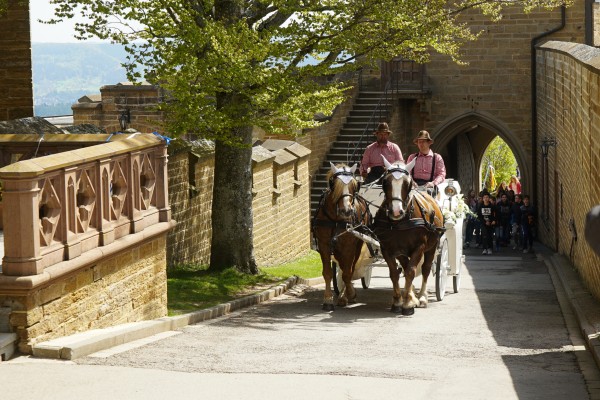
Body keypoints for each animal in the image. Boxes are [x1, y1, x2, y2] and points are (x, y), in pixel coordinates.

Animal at [314, 162, 370, 310]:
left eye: (354, 185)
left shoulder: (349, 246)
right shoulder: (324, 244)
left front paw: (349, 294)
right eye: (334, 184)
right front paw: (328, 299)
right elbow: (327, 273)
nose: (346, 211)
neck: (335, 219)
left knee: (350, 268)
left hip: (358, 245)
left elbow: (347, 273)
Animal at [376, 156, 446, 316]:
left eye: (407, 184)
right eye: (385, 182)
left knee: (425, 269)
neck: (398, 222)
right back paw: (413, 294)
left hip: (432, 246)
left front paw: (408, 304)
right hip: (402, 251)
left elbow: (411, 271)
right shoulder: (386, 248)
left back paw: (422, 297)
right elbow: (395, 273)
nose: (396, 211)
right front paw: (398, 301)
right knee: (405, 265)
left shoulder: (419, 247)